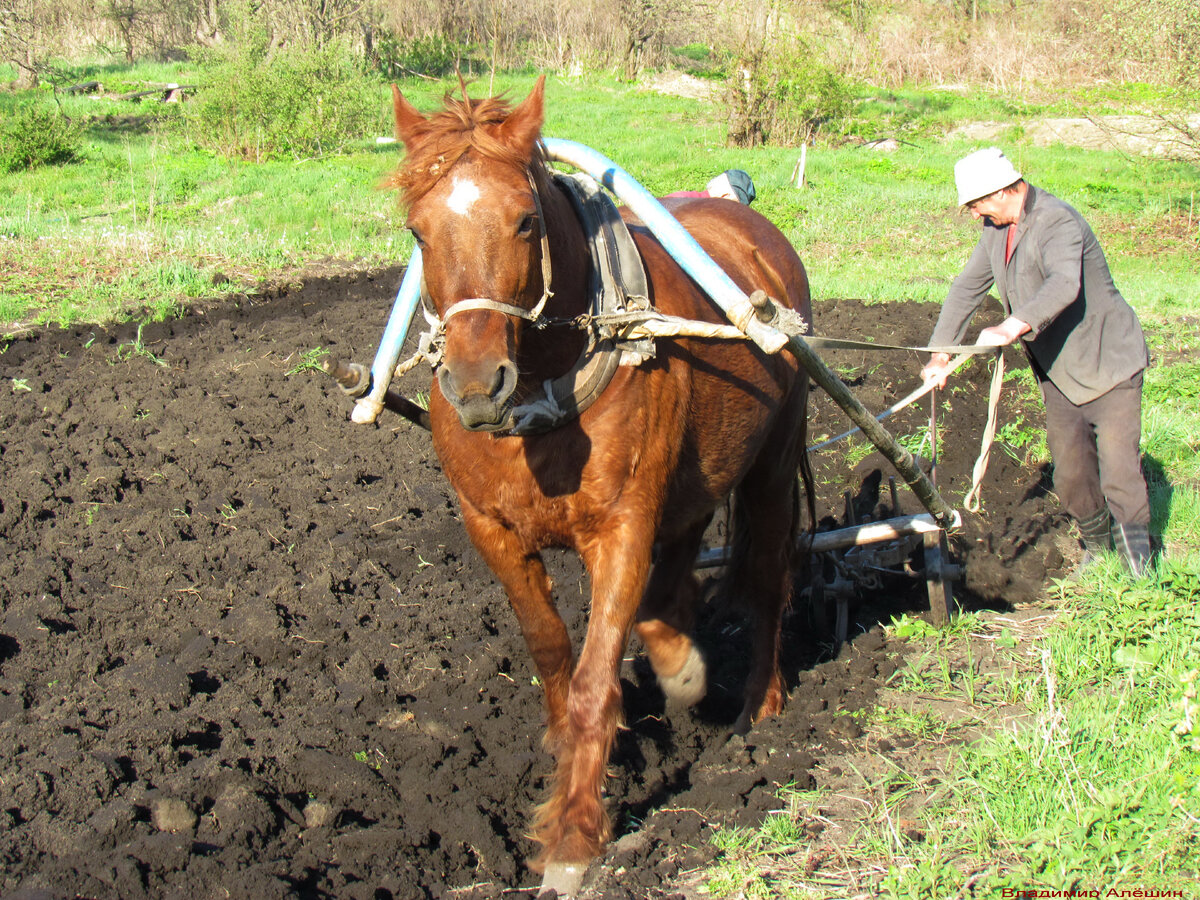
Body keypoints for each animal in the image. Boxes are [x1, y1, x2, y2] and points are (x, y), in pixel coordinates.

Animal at [388, 75, 811, 897]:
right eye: (419, 232)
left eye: (524, 221)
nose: (475, 385)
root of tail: (750, 225)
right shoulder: (490, 528)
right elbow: (554, 653)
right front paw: (621, 715)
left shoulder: (622, 525)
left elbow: (594, 678)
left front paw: (573, 839)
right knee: (680, 572)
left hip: (773, 464)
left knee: (768, 580)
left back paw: (761, 708)